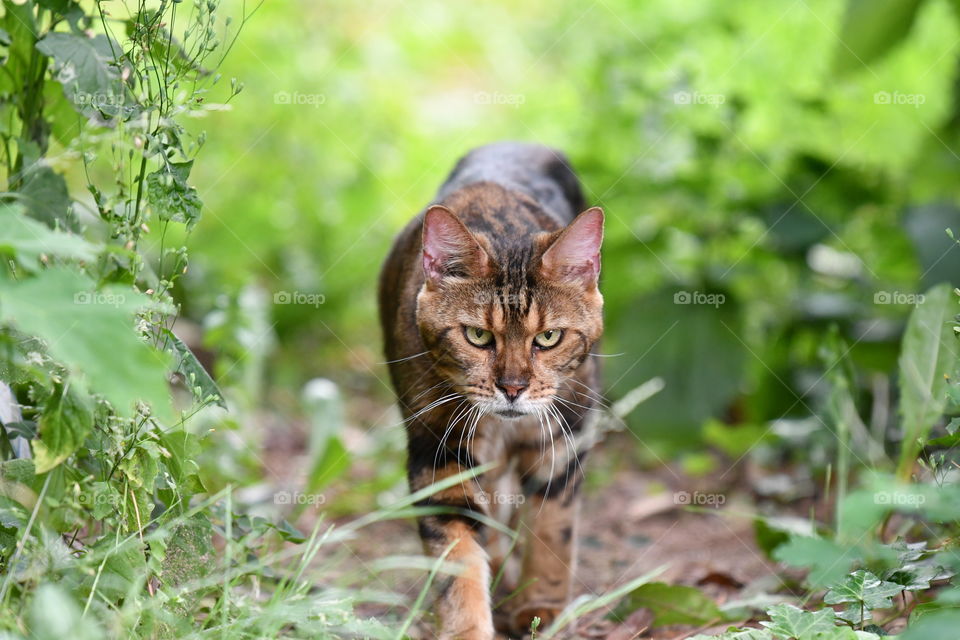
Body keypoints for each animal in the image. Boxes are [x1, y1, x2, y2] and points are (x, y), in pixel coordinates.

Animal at [378, 142, 604, 636]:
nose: (512, 388)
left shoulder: (564, 435)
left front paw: (543, 606)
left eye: (548, 338)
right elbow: (456, 557)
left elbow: (552, 527)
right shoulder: (438, 453)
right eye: (478, 336)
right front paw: (469, 626)